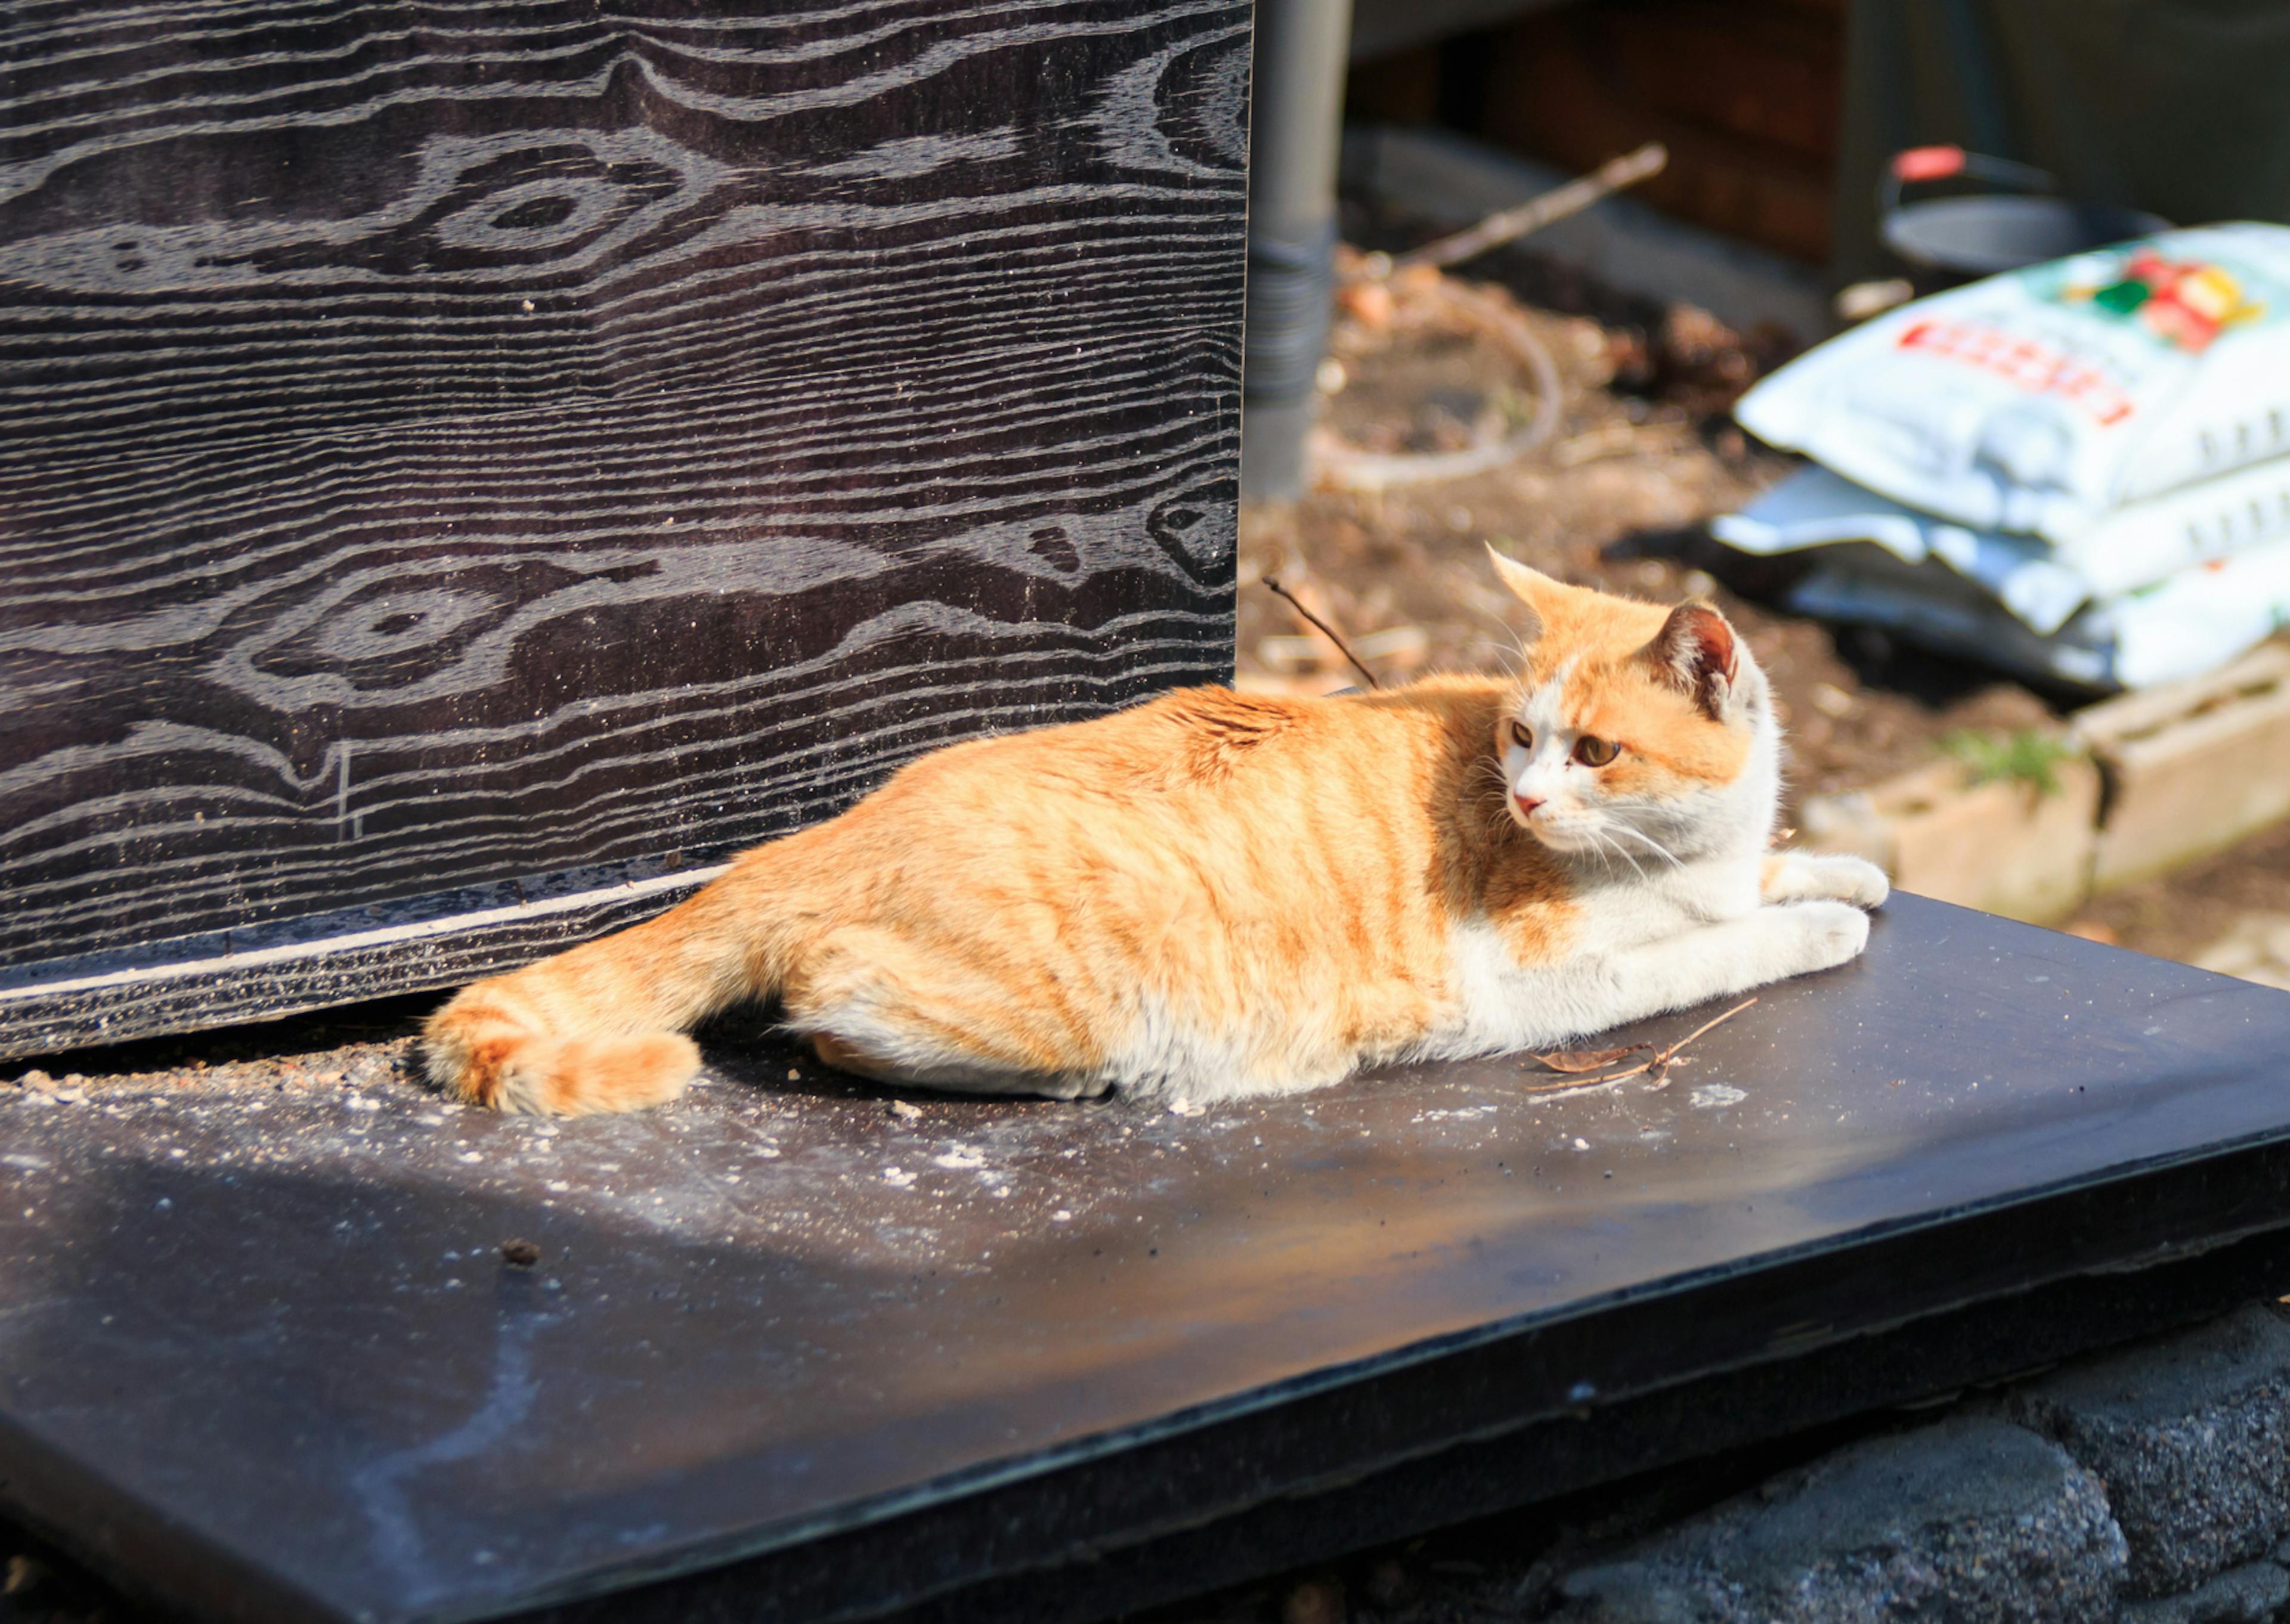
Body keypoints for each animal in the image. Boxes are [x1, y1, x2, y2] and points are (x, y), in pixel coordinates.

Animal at [426, 551, 1877, 1108]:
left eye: (1595, 750)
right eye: (1523, 740)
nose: (1523, 798)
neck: (1679, 855)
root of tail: (839, 825)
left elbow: (1764, 881)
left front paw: (1841, 867)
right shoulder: (1549, 975)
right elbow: (1723, 946)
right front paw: (1823, 922)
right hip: (1068, 996)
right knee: (831, 1011)